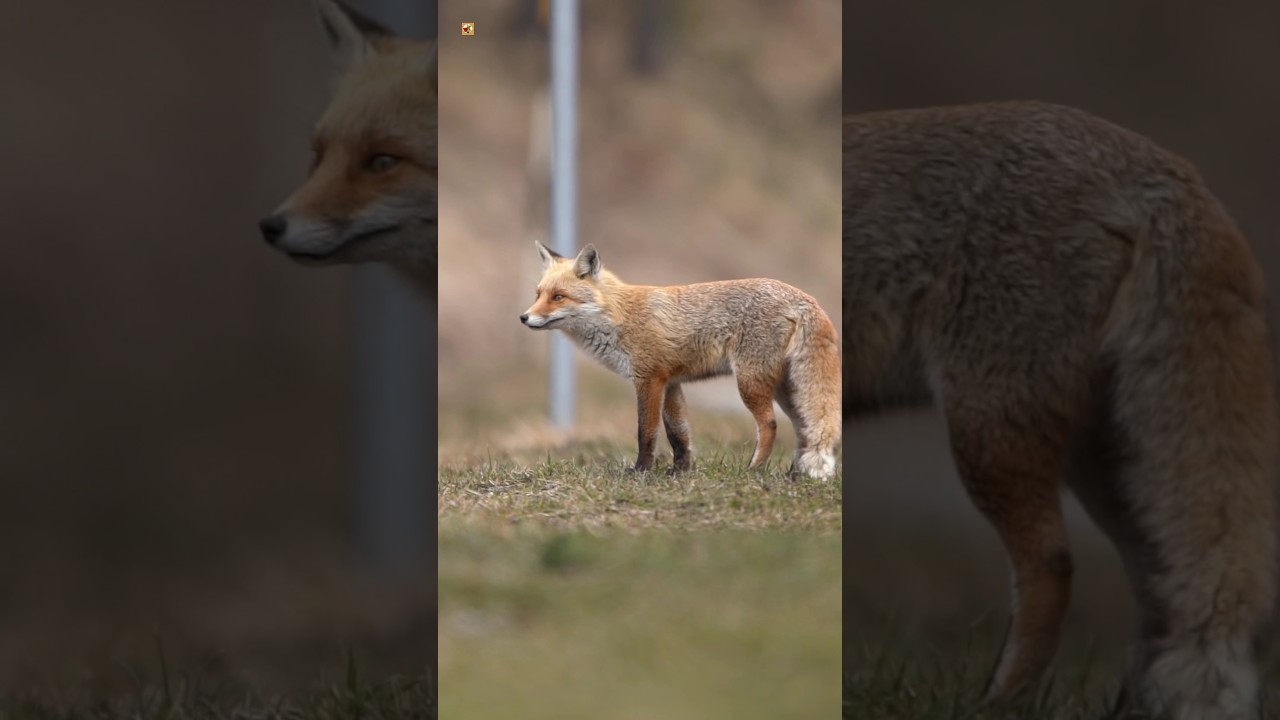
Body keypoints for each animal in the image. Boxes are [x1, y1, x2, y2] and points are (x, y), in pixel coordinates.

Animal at [521, 242, 841, 479]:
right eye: (538, 294)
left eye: (558, 297)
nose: (524, 317)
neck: (619, 317)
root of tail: (803, 296)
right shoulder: (671, 382)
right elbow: (678, 434)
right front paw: (680, 472)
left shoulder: (648, 379)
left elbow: (646, 432)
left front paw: (641, 471)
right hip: (785, 389)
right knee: (804, 429)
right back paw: (792, 475)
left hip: (750, 383)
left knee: (771, 425)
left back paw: (753, 470)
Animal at [844, 100, 1278, 719]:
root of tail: (1165, 165)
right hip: (1108, 464)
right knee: (1161, 588)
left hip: (989, 433)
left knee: (1052, 566)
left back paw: (997, 703)